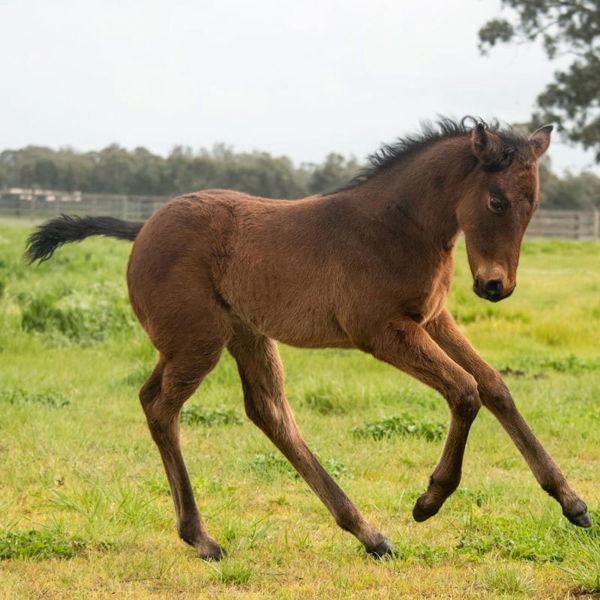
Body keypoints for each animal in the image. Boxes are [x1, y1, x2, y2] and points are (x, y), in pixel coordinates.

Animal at [27, 119, 592, 560]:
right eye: (496, 200)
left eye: (533, 206)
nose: (497, 287)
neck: (394, 227)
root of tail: (143, 227)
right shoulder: (384, 331)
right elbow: (465, 391)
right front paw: (429, 501)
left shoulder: (433, 319)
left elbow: (495, 387)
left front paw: (572, 502)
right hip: (199, 343)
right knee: (163, 407)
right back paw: (203, 539)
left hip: (239, 335)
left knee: (262, 410)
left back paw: (368, 535)